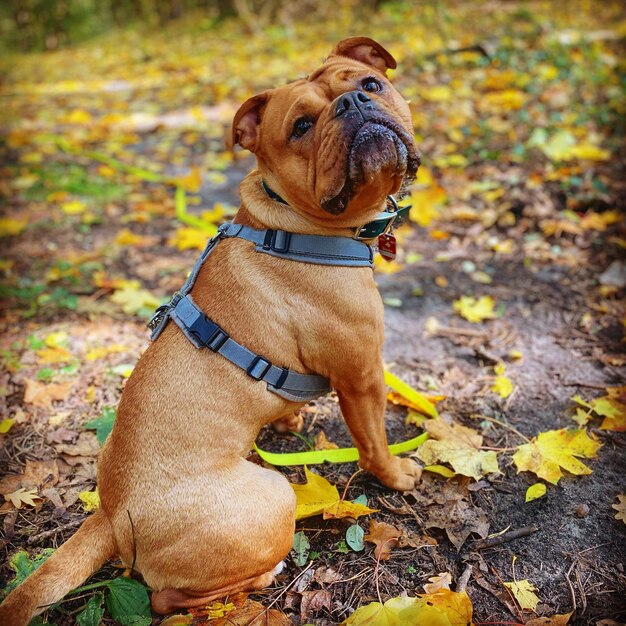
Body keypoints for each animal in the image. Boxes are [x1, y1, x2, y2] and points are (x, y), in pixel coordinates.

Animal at [1, 36, 420, 620]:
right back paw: (263, 575)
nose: (354, 104)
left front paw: (288, 419)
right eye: (300, 127)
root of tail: (112, 516)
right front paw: (397, 477)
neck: (292, 226)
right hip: (273, 498)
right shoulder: (361, 375)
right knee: (166, 598)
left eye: (370, 84)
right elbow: (374, 443)